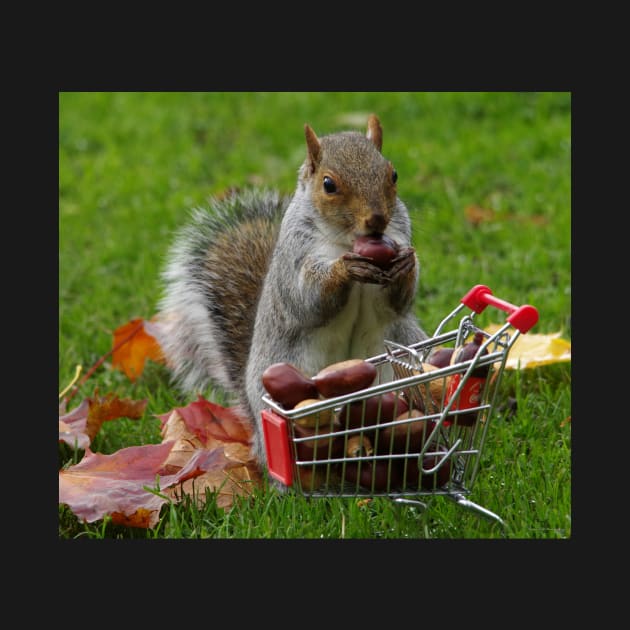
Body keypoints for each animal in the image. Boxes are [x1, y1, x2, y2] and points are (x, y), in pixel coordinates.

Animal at [157, 115, 430, 474]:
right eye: (328, 184)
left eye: (393, 174)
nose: (377, 220)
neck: (347, 240)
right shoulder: (295, 256)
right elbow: (308, 299)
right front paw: (344, 270)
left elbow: (399, 301)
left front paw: (406, 264)